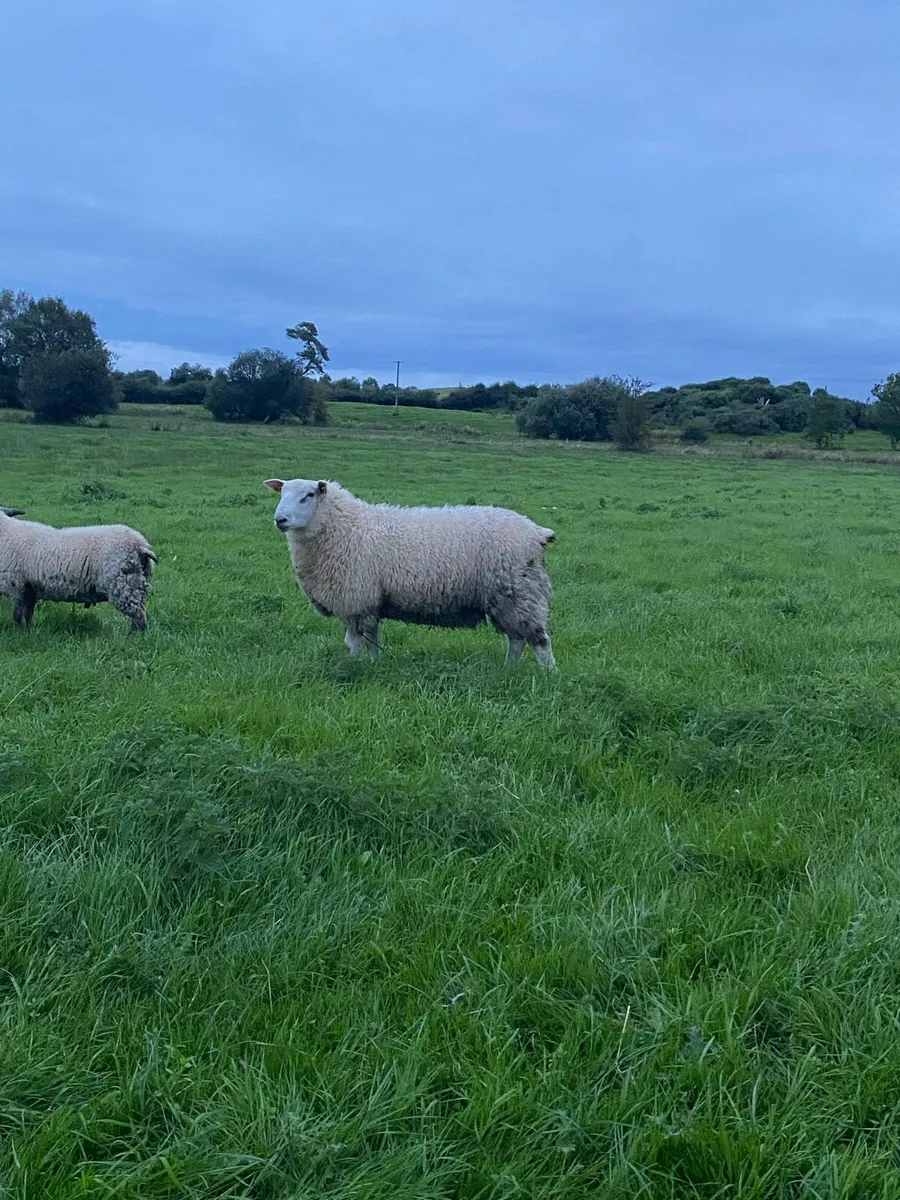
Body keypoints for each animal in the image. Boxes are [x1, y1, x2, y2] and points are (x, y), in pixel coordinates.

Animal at [0, 509, 157, 632]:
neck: (5, 532)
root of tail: (140, 544)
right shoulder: (30, 588)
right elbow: (28, 613)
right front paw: (28, 631)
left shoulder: (16, 586)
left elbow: (17, 614)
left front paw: (18, 633)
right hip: (139, 580)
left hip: (123, 584)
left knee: (138, 617)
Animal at [264, 477, 557, 668]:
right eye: (281, 493)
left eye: (309, 495)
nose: (280, 520)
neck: (344, 526)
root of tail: (537, 532)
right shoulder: (363, 602)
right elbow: (366, 639)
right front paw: (369, 663)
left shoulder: (356, 598)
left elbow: (357, 640)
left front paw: (360, 664)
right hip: (509, 597)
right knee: (517, 639)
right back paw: (509, 669)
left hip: (520, 592)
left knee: (539, 640)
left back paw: (548, 676)